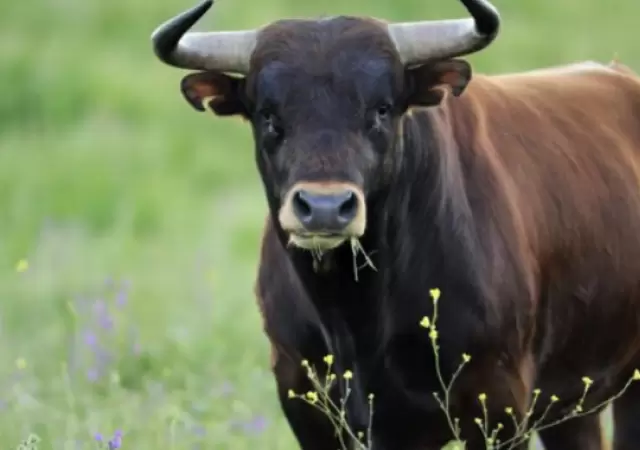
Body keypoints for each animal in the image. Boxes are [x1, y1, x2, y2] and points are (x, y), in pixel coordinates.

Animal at [150, 1, 640, 448]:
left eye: (382, 109)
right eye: (268, 114)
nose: (325, 207)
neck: (355, 315)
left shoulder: (497, 405)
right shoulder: (306, 402)